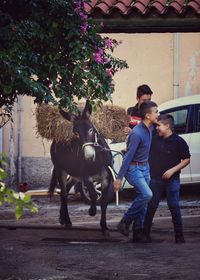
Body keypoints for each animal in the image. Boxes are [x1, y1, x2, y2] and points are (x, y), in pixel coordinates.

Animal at [49, 99, 114, 235]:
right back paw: (67, 221)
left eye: (91, 130)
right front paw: (92, 211)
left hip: (74, 174)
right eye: (76, 133)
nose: (89, 156)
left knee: (66, 189)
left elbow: (104, 202)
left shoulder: (106, 178)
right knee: (63, 194)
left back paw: (62, 218)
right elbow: (93, 194)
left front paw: (104, 227)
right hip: (60, 169)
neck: (97, 161)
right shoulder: (85, 176)